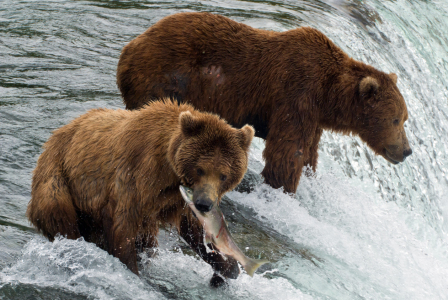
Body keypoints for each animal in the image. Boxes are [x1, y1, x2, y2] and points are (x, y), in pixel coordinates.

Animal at [26, 99, 254, 288]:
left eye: (224, 175)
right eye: (200, 169)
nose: (204, 204)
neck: (168, 170)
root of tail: (58, 132)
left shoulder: (174, 199)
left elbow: (194, 228)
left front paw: (226, 269)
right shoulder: (137, 176)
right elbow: (122, 225)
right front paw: (130, 271)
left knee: (147, 241)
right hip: (59, 176)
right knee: (59, 213)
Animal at [116, 11, 412, 193]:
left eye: (404, 119)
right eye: (395, 119)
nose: (407, 151)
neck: (328, 95)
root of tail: (131, 45)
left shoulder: (313, 116)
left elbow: (308, 153)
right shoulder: (296, 94)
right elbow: (287, 153)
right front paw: (284, 187)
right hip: (164, 77)